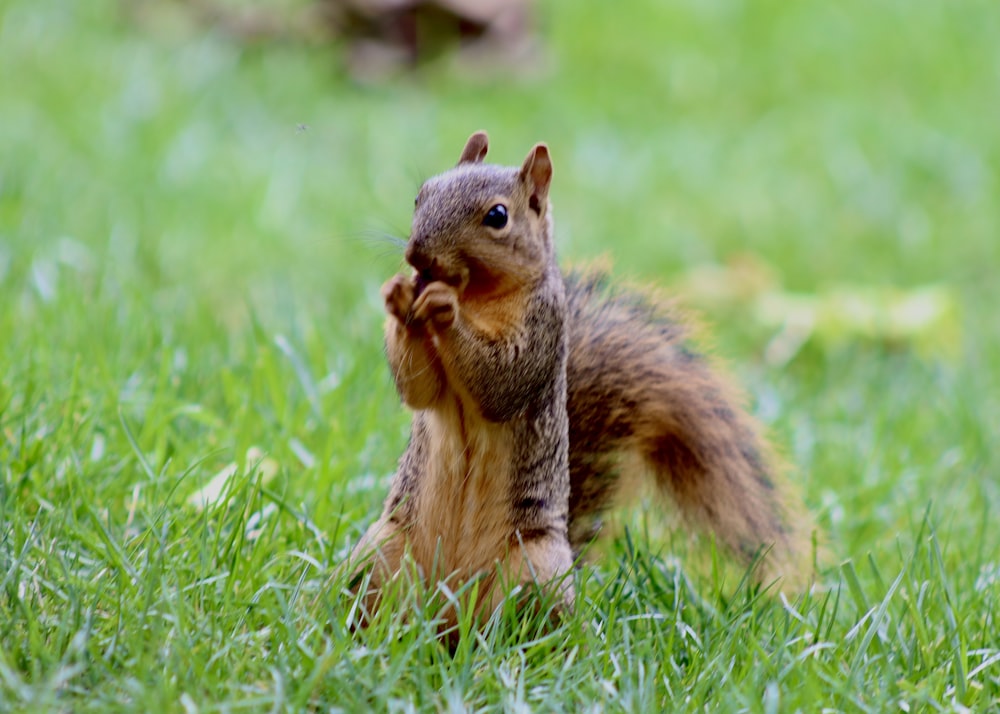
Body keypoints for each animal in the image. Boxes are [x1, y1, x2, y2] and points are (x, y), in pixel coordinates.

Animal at [348, 131, 808, 632]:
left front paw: (441, 308)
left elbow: (499, 382)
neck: (476, 297)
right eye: (420, 195)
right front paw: (399, 296)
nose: (418, 257)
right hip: (381, 554)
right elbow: (420, 389)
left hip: (534, 572)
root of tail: (450, 614)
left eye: (497, 216)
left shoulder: (544, 328)